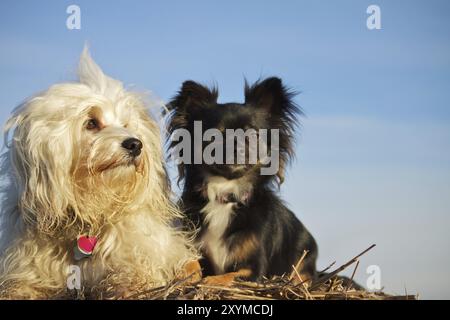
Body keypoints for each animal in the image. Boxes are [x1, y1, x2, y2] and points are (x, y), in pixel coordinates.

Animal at [0, 48, 199, 300]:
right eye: (91, 123)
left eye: (126, 124)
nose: (135, 144)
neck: (89, 217)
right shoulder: (26, 269)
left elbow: (133, 276)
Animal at [167, 79, 318, 286]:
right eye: (213, 136)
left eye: (252, 135)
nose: (236, 148)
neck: (226, 195)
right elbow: (190, 262)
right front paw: (185, 274)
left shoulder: (254, 271)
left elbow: (229, 276)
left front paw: (210, 282)